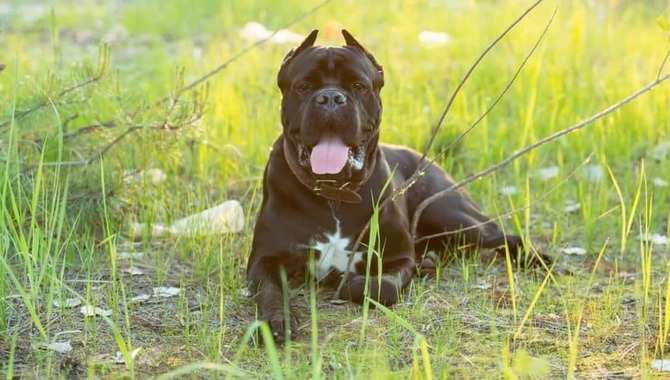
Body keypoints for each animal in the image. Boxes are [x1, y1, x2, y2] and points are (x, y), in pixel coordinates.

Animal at [249, 29, 540, 342]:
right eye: (303, 86)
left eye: (358, 85)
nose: (330, 98)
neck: (335, 193)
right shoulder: (264, 259)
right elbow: (270, 290)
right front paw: (276, 321)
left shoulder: (398, 256)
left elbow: (382, 287)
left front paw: (347, 280)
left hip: (451, 215)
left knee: (506, 237)